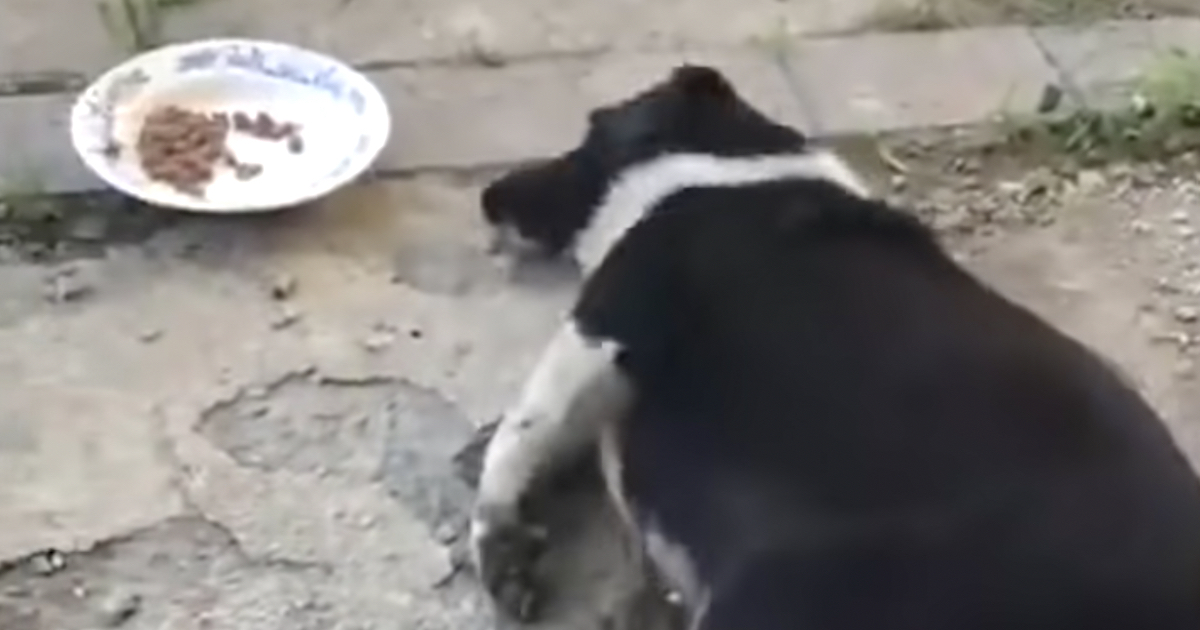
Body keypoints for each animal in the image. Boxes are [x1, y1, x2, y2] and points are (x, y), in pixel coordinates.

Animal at [468, 65, 1200, 628]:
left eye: (589, 129)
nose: (487, 195)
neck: (723, 168)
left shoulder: (616, 313)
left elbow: (522, 431)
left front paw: (499, 544)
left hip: (781, 593)